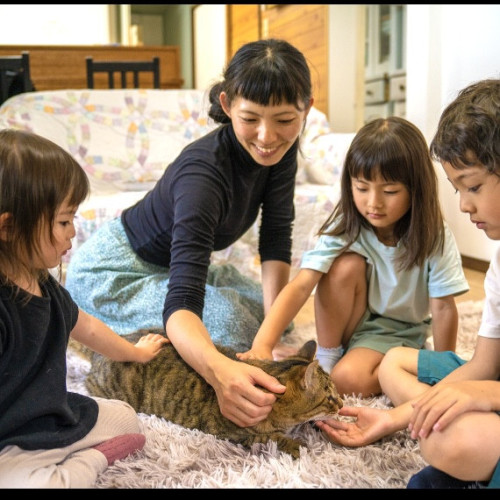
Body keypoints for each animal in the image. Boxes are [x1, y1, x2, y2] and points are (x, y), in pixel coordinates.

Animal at [82, 334, 342, 458]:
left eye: (336, 392)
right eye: (329, 397)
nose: (342, 402)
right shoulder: (231, 432)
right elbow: (271, 437)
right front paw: (299, 446)